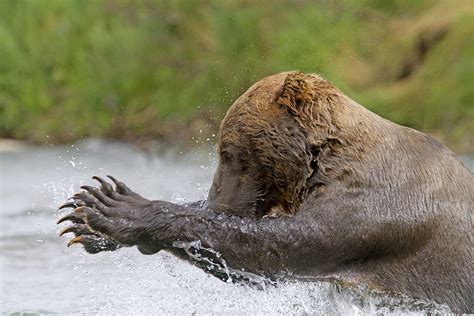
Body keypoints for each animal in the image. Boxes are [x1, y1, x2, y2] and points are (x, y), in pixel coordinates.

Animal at [58, 72, 474, 314]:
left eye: (227, 151)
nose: (217, 198)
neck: (323, 160)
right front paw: (83, 217)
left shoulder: (370, 213)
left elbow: (276, 250)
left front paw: (117, 207)